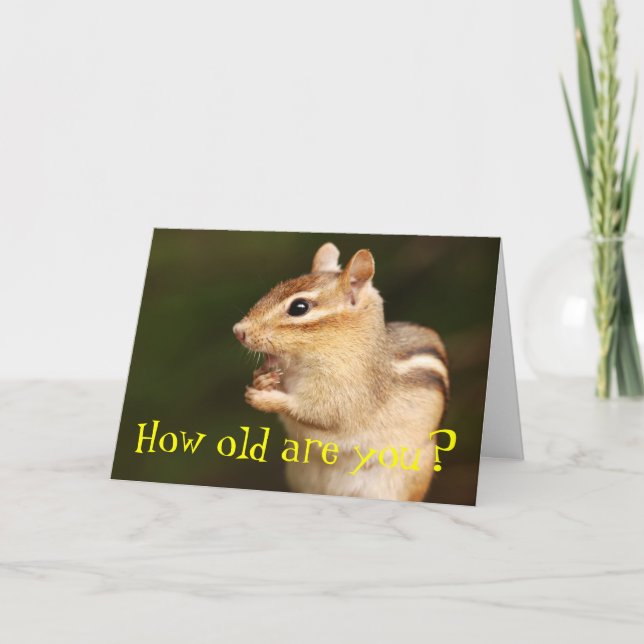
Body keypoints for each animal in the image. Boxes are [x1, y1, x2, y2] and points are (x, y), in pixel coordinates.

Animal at [233, 242, 449, 502]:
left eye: (299, 307)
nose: (238, 331)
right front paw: (261, 380)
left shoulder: (346, 395)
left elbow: (317, 412)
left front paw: (263, 398)